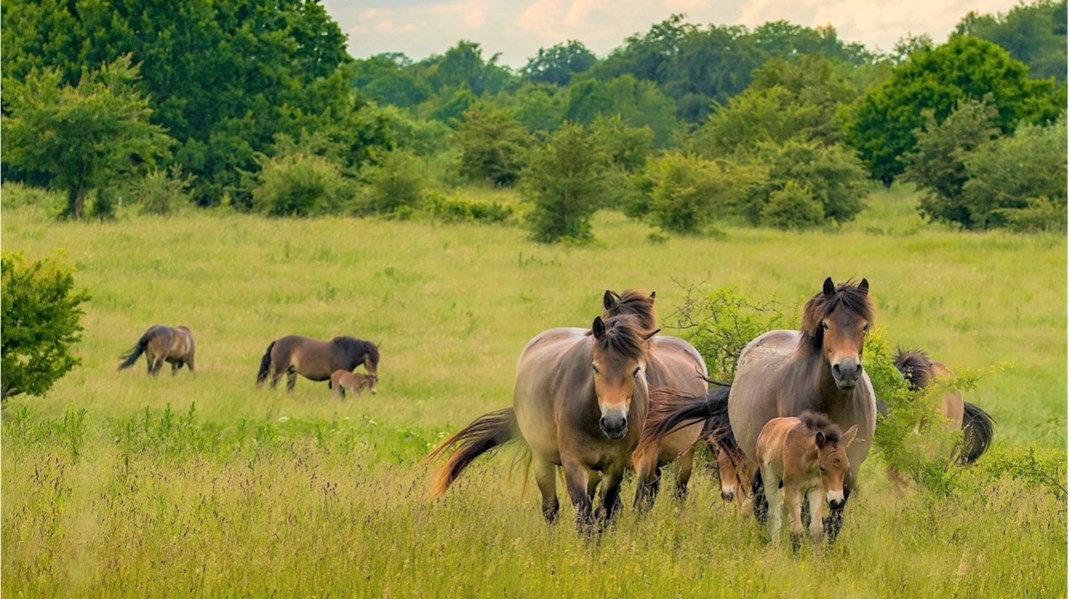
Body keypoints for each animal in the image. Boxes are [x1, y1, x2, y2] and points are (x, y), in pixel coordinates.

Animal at [423, 308, 650, 532]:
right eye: (595, 368)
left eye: (636, 370)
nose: (614, 423)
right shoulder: (574, 464)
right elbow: (583, 518)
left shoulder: (615, 467)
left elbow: (603, 513)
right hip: (541, 458)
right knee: (550, 507)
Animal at [757, 410, 856, 547]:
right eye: (822, 468)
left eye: (846, 467)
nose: (836, 502)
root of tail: (767, 428)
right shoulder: (792, 488)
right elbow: (797, 531)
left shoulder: (817, 489)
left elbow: (816, 529)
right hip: (771, 481)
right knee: (774, 516)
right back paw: (776, 546)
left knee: (784, 511)